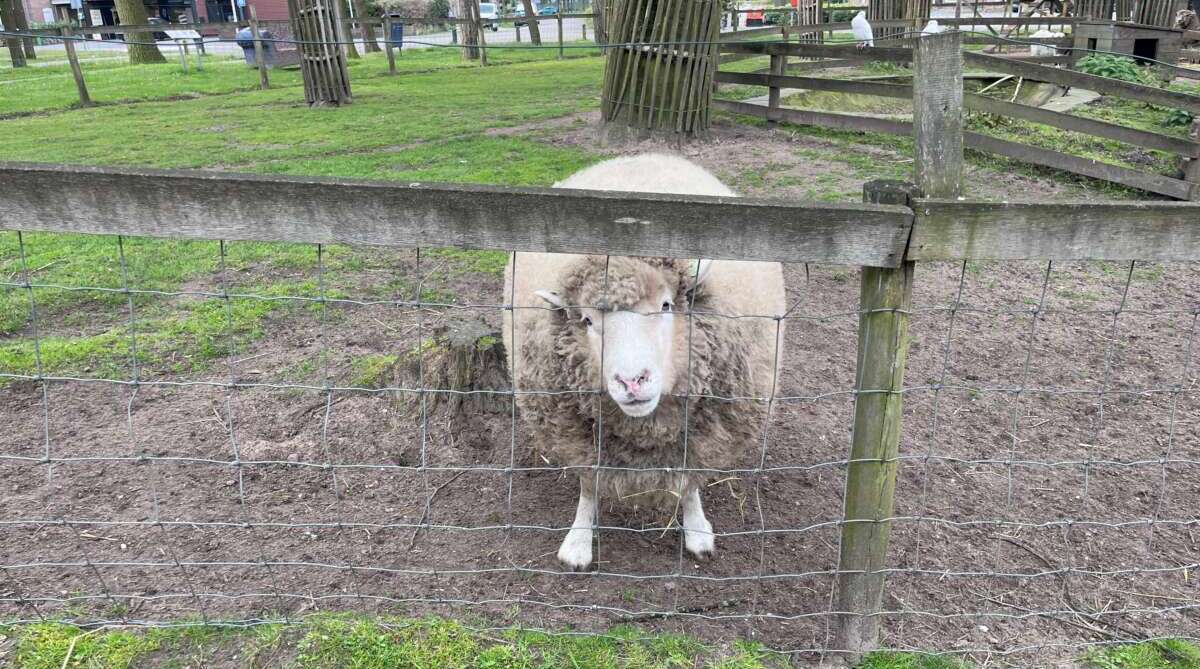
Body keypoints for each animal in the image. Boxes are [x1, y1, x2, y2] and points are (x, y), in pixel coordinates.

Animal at [499, 155, 787, 570]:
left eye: (666, 305)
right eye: (587, 321)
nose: (632, 381)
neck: (645, 431)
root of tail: (644, 156)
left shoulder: (701, 440)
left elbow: (690, 483)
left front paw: (697, 529)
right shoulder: (578, 439)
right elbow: (589, 486)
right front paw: (579, 541)